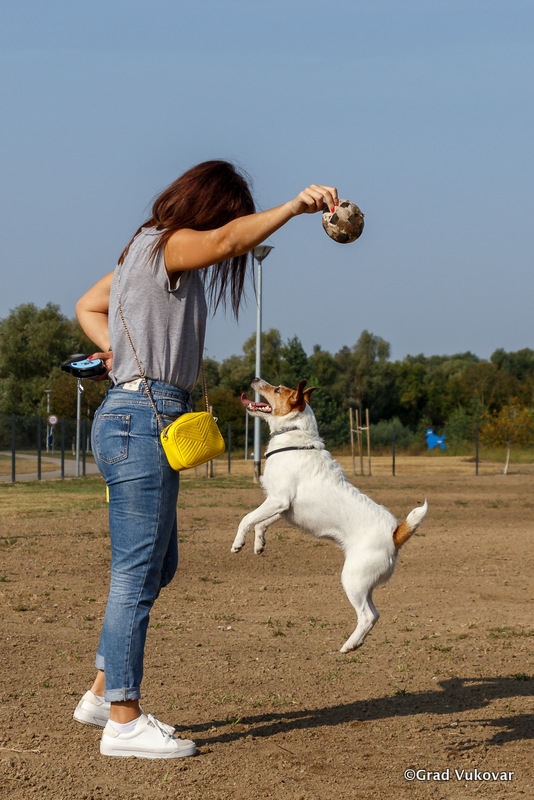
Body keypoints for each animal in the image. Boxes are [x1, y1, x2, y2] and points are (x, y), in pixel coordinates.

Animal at [231, 378, 428, 653]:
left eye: (278, 389)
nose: (256, 379)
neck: (294, 436)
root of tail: (395, 533)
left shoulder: (278, 500)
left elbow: (247, 518)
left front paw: (238, 542)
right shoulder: (283, 508)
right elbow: (262, 523)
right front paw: (259, 544)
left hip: (352, 579)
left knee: (367, 615)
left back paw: (348, 645)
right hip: (364, 584)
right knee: (375, 614)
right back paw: (356, 642)